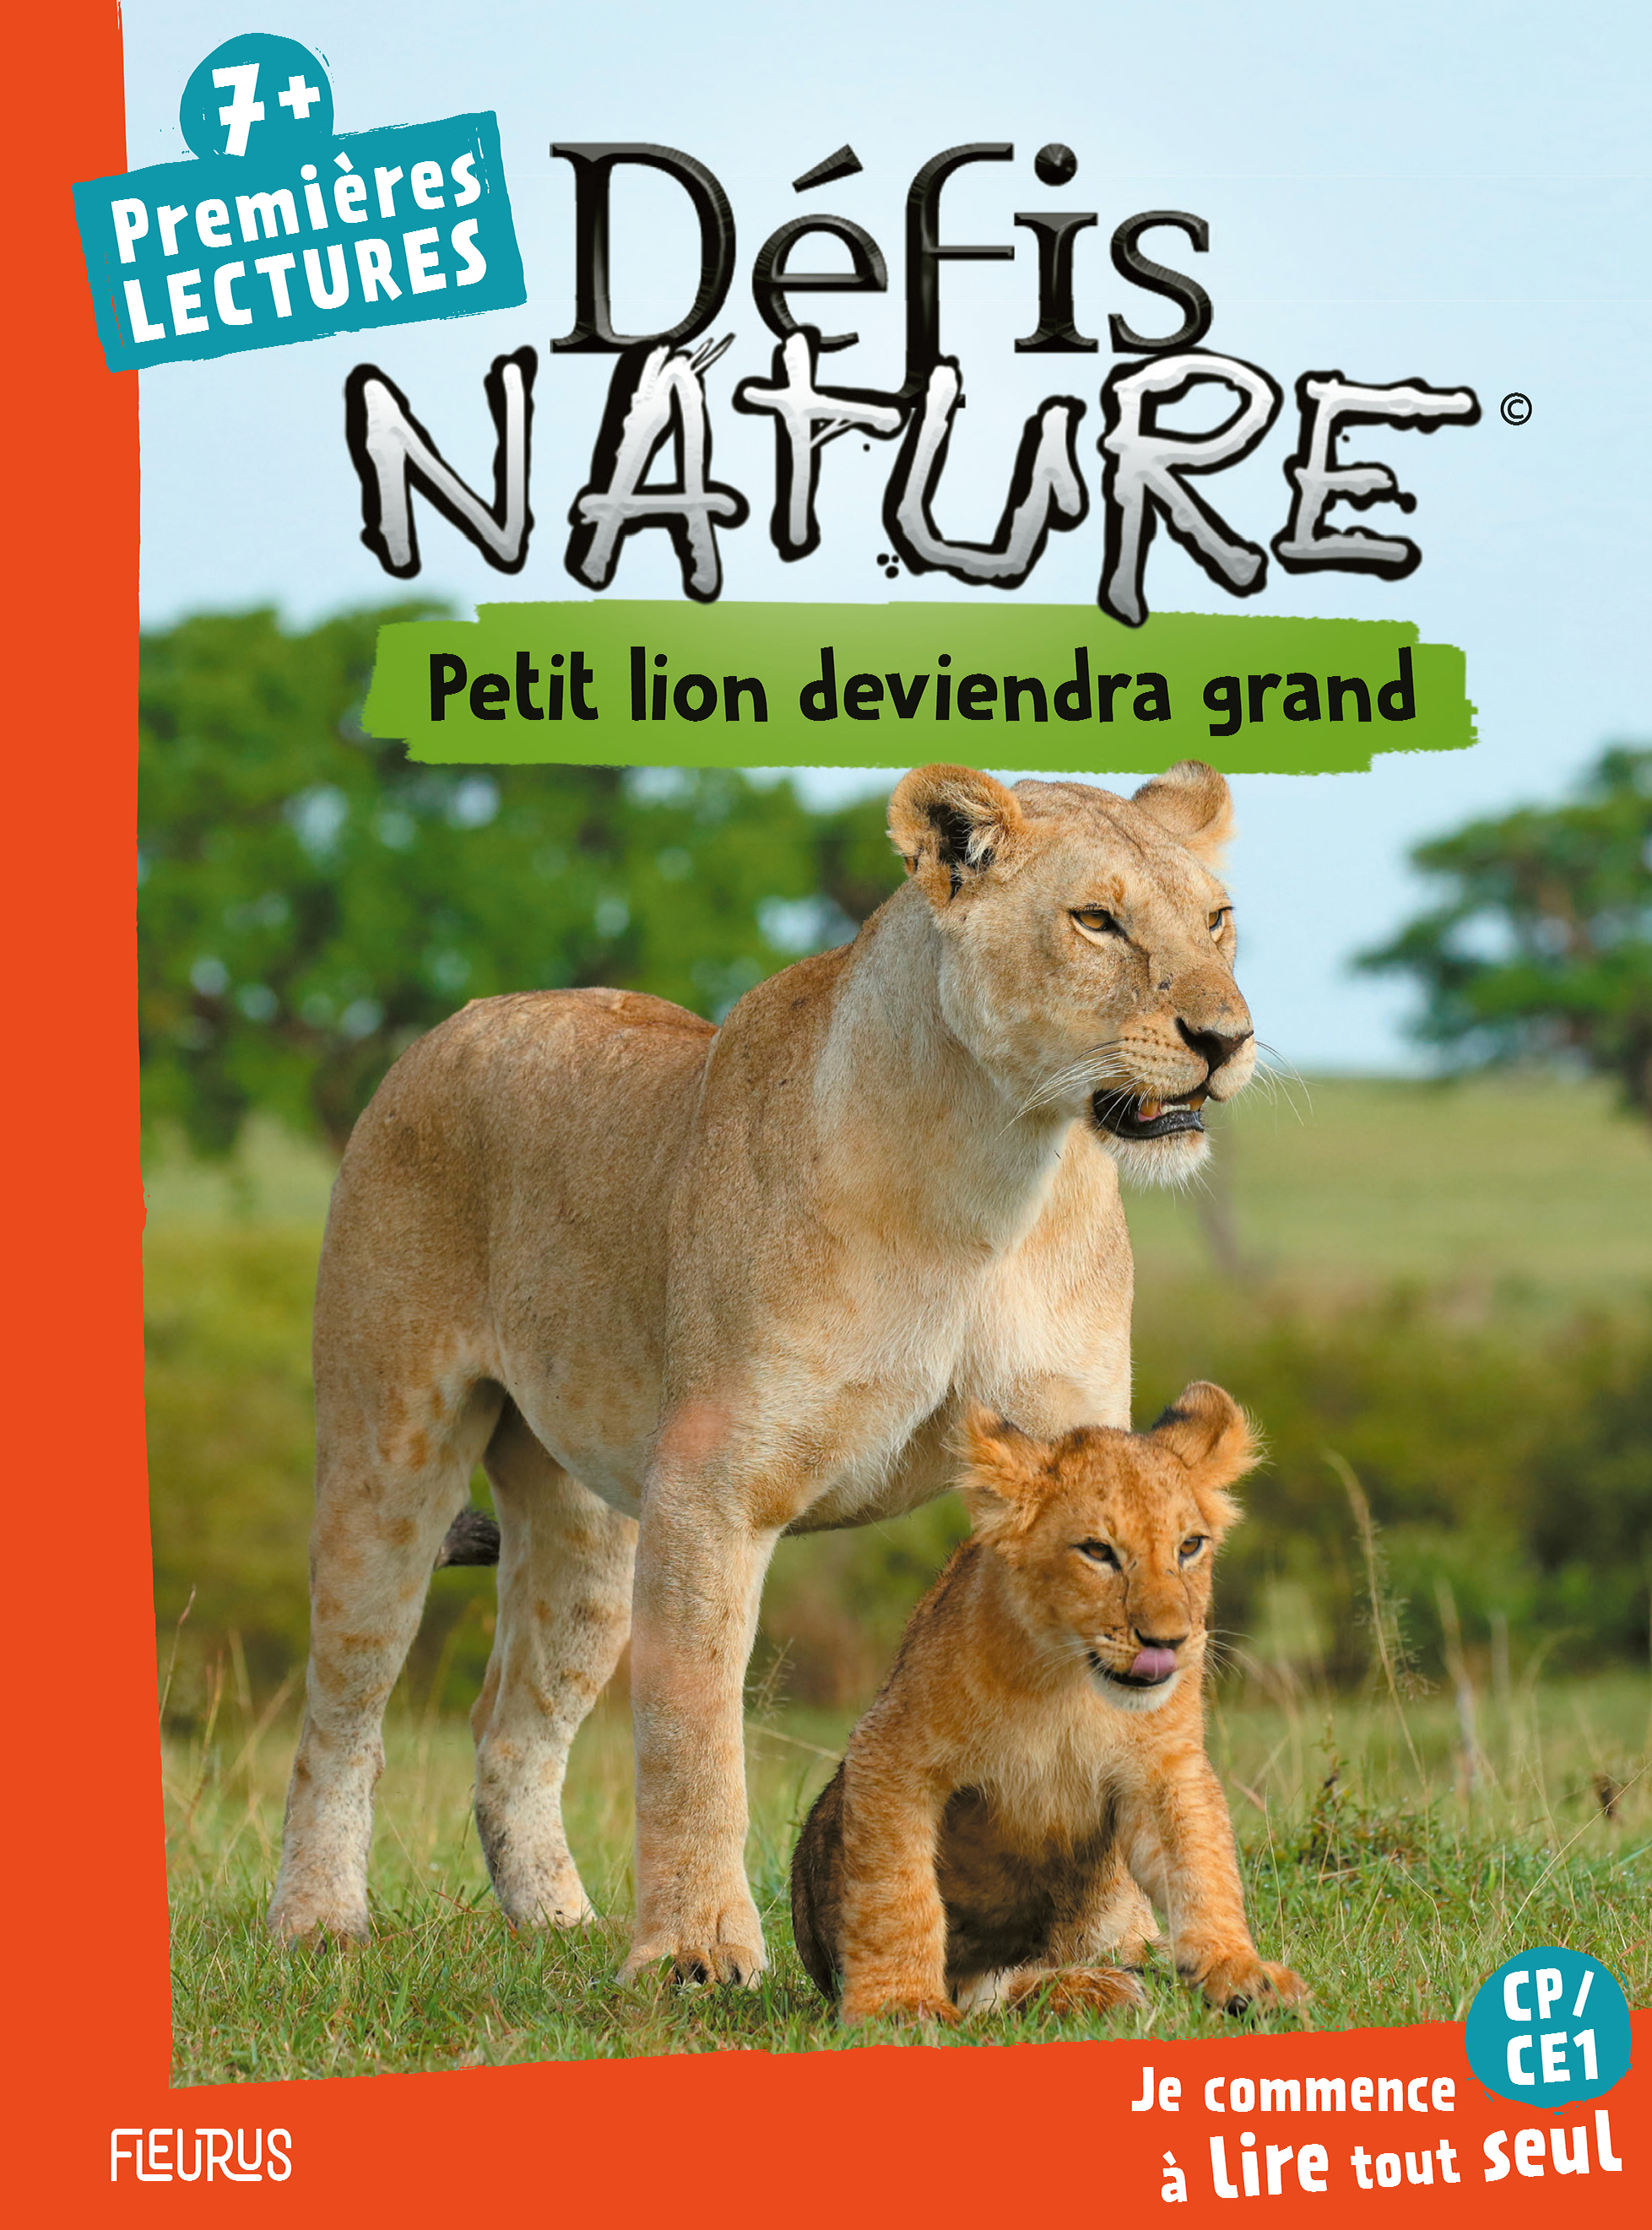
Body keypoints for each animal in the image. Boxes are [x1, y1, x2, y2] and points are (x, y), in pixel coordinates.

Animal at [267, 760, 1256, 1989]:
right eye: (1096, 920)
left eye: (1216, 920)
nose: (1225, 1036)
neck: (993, 1169)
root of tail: (455, 1021)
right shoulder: (713, 1488)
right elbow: (693, 1736)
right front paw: (695, 1953)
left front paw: (1110, 1939)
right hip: (390, 1455)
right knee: (343, 1709)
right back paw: (317, 1922)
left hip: (585, 1535)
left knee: (511, 1727)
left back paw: (558, 1923)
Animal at [791, 1385, 1308, 2024]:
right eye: (1098, 1551)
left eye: (1189, 1546)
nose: (1167, 1642)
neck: (1070, 1687)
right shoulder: (889, 1753)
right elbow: (895, 1891)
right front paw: (899, 2005)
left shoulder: (1164, 1766)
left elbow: (1202, 1865)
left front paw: (1239, 1971)